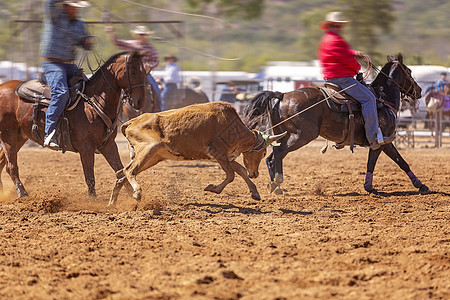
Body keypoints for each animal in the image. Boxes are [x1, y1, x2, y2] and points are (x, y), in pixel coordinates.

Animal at [0, 51, 146, 197]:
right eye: (133, 72)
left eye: (144, 71)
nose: (140, 102)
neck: (93, 103)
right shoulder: (86, 148)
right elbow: (90, 178)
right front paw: (93, 201)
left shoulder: (108, 144)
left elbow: (120, 172)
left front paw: (133, 198)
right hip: (8, 136)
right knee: (11, 166)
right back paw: (23, 193)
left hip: (19, 136)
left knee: (3, 162)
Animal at [109, 102, 284, 205]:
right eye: (263, 153)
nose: (255, 173)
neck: (232, 127)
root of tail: (131, 121)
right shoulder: (218, 154)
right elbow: (231, 175)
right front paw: (213, 188)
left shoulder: (226, 157)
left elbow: (240, 170)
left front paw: (255, 192)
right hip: (149, 149)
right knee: (129, 170)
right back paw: (137, 193)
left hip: (153, 157)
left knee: (122, 174)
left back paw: (112, 203)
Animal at [244, 53, 430, 196]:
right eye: (409, 71)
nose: (419, 90)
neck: (382, 99)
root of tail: (282, 95)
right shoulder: (382, 141)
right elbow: (385, 162)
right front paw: (371, 187)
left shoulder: (385, 142)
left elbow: (399, 162)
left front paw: (420, 185)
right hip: (301, 136)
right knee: (278, 153)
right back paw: (278, 182)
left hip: (282, 134)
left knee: (270, 158)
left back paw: (276, 187)